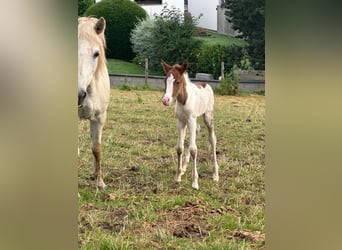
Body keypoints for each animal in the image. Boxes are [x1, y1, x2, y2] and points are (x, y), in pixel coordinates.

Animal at [161, 60, 219, 189]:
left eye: (177, 82)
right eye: (165, 80)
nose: (165, 100)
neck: (183, 100)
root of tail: (206, 84)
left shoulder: (191, 119)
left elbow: (193, 149)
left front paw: (195, 182)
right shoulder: (181, 121)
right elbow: (179, 148)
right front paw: (178, 176)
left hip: (208, 116)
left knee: (212, 139)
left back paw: (215, 174)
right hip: (191, 121)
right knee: (197, 130)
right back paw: (183, 167)